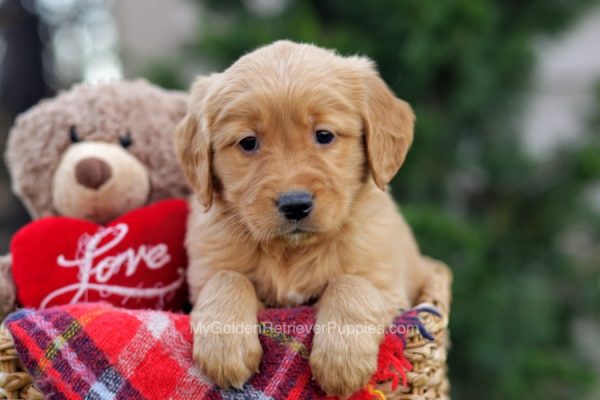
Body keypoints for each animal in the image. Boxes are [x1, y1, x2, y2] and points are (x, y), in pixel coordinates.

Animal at [178, 40, 436, 396]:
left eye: (324, 135)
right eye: (248, 142)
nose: (295, 205)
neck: (291, 251)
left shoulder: (388, 286)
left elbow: (351, 283)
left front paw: (342, 360)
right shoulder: (206, 271)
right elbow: (227, 278)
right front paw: (225, 348)